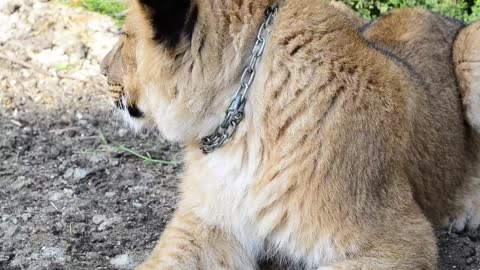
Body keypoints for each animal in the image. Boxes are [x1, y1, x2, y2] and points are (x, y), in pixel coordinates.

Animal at [100, 1, 480, 268]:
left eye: (124, 37)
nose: (101, 70)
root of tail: (431, 13)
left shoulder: (406, 240)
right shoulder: (206, 223)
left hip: (470, 47)